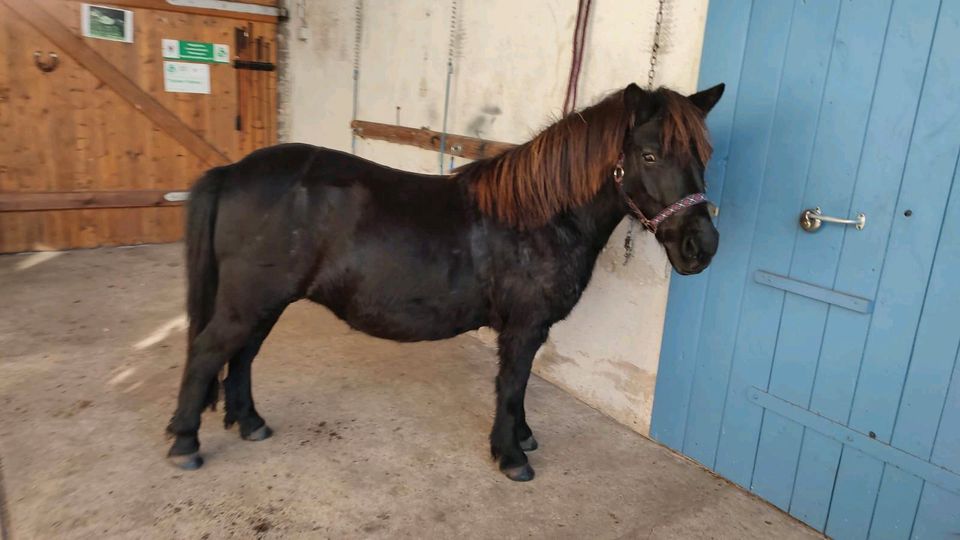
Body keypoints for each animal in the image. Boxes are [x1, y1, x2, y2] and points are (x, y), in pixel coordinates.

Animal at [167, 83, 720, 480]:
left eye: (703, 156)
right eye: (649, 155)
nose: (703, 247)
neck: (541, 215)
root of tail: (232, 171)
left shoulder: (528, 328)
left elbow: (518, 387)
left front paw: (523, 437)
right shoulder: (523, 327)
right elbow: (511, 386)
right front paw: (511, 456)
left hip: (265, 301)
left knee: (241, 356)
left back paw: (251, 423)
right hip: (249, 301)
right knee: (208, 353)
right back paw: (185, 444)